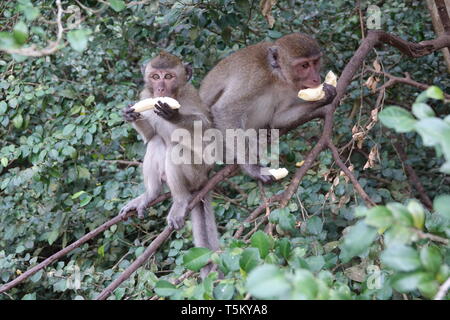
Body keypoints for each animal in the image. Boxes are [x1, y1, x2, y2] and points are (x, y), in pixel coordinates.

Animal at [118, 50, 220, 264]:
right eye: (155, 76)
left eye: (169, 76)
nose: (160, 88)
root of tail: (205, 178)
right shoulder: (146, 96)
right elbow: (150, 137)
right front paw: (131, 115)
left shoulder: (191, 95)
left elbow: (207, 128)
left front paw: (174, 115)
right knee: (157, 141)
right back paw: (151, 193)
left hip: (197, 174)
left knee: (176, 148)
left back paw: (180, 201)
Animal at [199, 32, 336, 182]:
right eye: (304, 65)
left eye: (315, 62)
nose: (316, 78)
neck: (276, 76)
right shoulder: (256, 77)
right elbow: (224, 110)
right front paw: (252, 168)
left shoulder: (291, 89)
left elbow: (278, 118)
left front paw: (325, 95)